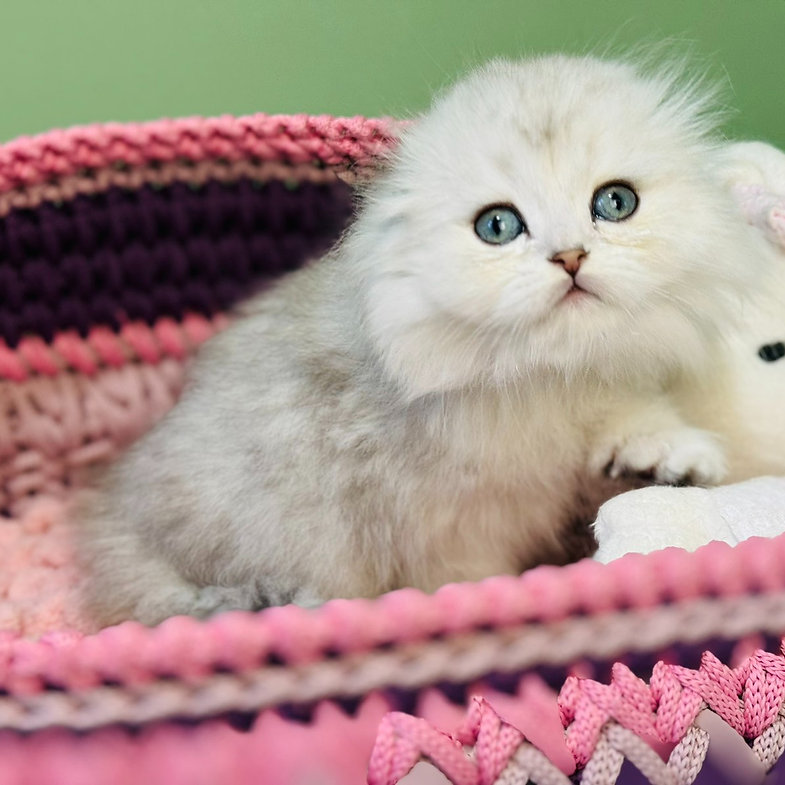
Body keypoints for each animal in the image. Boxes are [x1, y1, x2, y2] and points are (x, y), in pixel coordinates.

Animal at [76, 53, 776, 624]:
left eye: (615, 203)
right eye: (498, 226)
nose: (570, 258)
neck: (544, 380)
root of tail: (113, 521)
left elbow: (633, 419)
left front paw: (671, 458)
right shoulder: (453, 525)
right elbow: (466, 576)